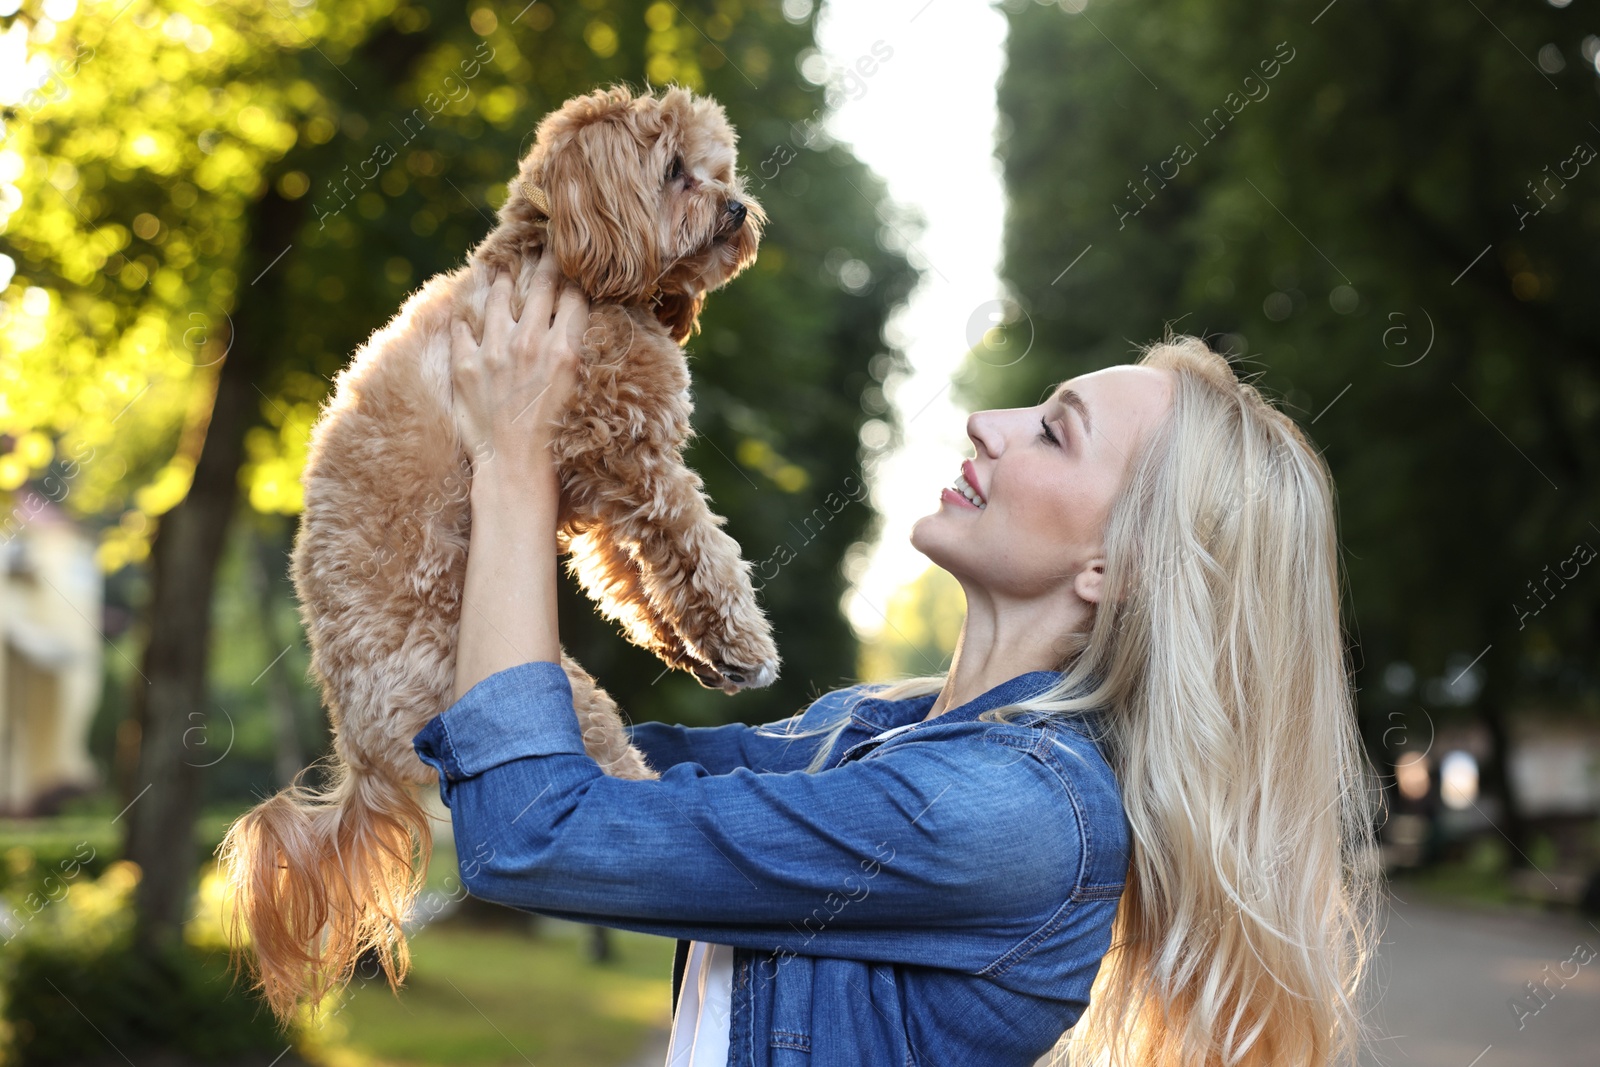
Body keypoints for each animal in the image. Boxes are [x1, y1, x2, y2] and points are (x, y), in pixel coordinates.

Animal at [219, 81, 780, 1017]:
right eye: (675, 172)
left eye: (720, 168)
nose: (737, 208)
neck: (572, 263)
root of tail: (357, 746)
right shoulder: (626, 450)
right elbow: (697, 548)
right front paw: (742, 641)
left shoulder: (596, 491)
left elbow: (633, 581)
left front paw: (692, 650)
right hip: (554, 698)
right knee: (604, 804)